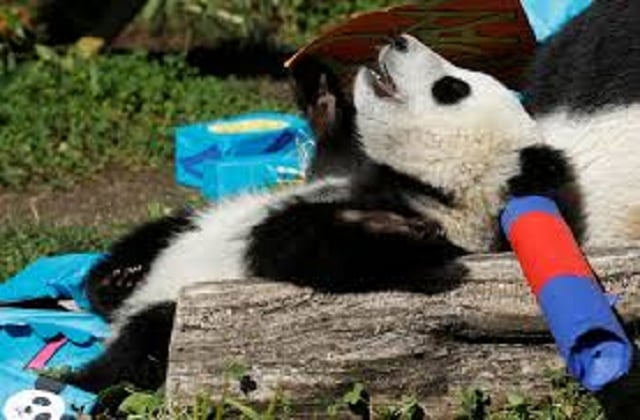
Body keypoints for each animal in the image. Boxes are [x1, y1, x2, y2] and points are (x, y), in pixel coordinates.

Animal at [63, 34, 580, 398]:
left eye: (450, 89)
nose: (400, 39)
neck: (420, 186)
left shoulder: (451, 225)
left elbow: (308, 251)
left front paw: (399, 233)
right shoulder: (345, 169)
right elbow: (331, 154)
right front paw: (321, 87)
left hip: (172, 313)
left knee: (145, 349)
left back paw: (90, 377)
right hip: (181, 230)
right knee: (152, 239)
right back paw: (115, 280)